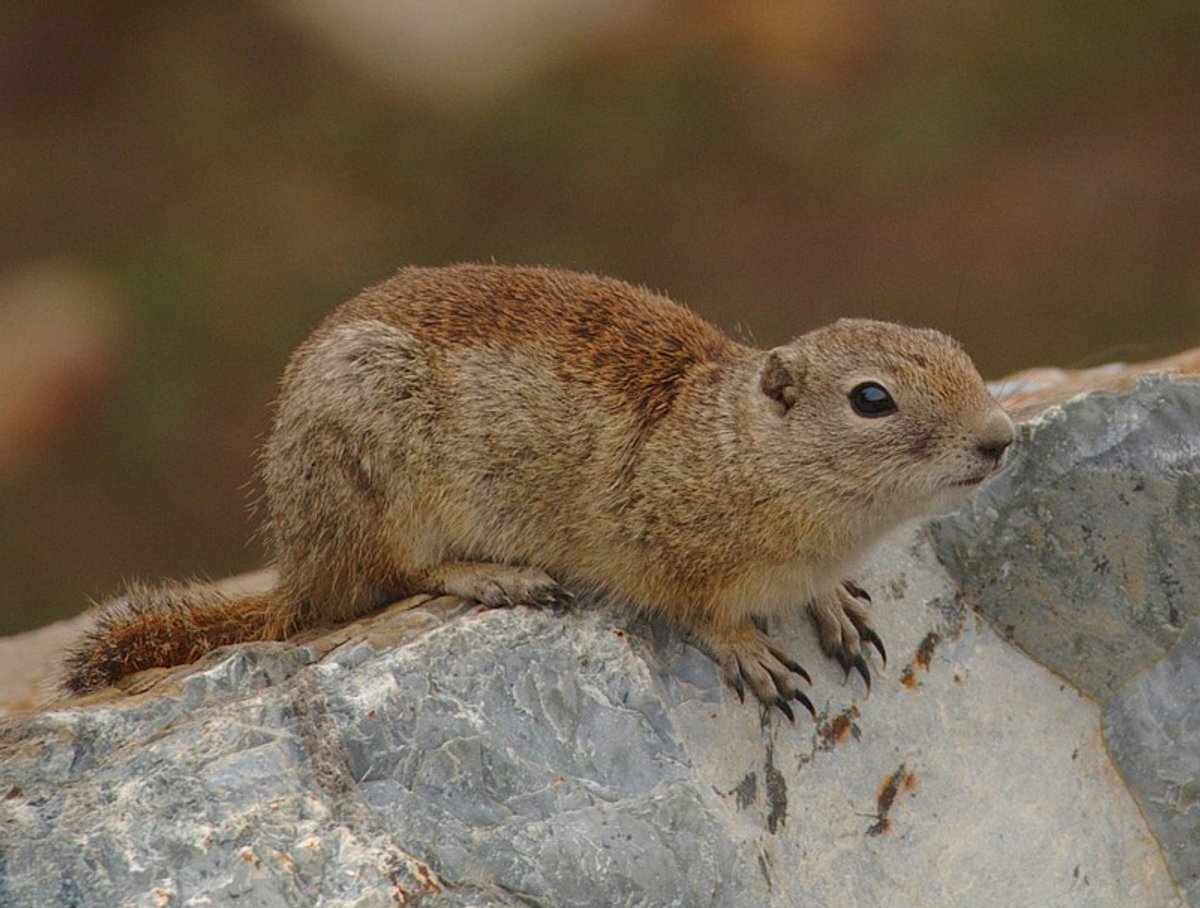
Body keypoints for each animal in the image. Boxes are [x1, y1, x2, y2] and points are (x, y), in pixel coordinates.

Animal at [64, 264, 1013, 719]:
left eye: (959, 349)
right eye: (871, 399)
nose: (1002, 438)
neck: (740, 448)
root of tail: (295, 564)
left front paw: (837, 607)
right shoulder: (660, 550)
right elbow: (700, 610)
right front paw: (753, 652)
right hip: (377, 488)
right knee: (385, 579)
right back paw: (498, 576)